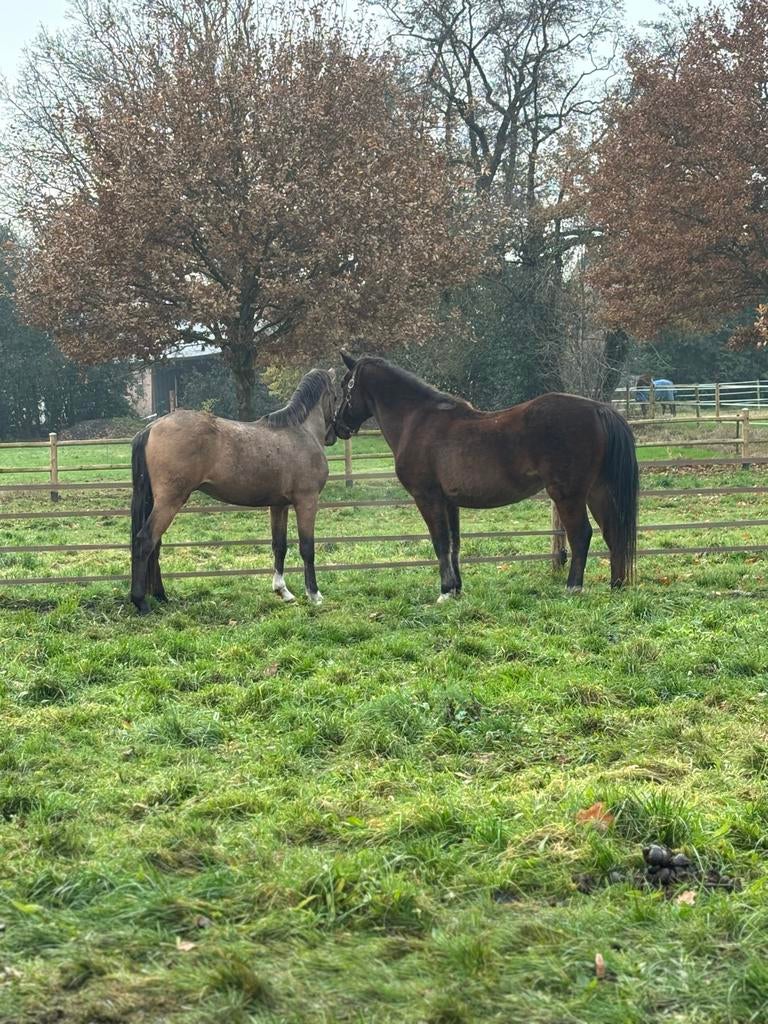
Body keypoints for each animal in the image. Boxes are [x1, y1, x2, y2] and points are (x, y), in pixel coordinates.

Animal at [130, 368, 337, 614]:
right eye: (337, 395)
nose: (334, 435)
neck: (300, 432)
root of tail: (151, 427)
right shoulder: (307, 502)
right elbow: (307, 548)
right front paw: (314, 594)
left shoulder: (279, 505)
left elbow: (279, 545)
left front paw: (283, 592)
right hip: (169, 503)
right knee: (145, 542)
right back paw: (141, 602)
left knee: (155, 546)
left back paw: (161, 596)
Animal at [333, 352, 638, 600]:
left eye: (345, 384)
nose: (338, 425)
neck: (416, 420)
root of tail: (599, 409)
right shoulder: (449, 502)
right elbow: (454, 544)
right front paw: (456, 589)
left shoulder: (427, 497)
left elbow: (440, 542)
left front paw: (445, 592)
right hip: (597, 491)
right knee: (613, 531)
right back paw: (617, 585)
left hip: (568, 495)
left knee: (581, 534)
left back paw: (573, 587)